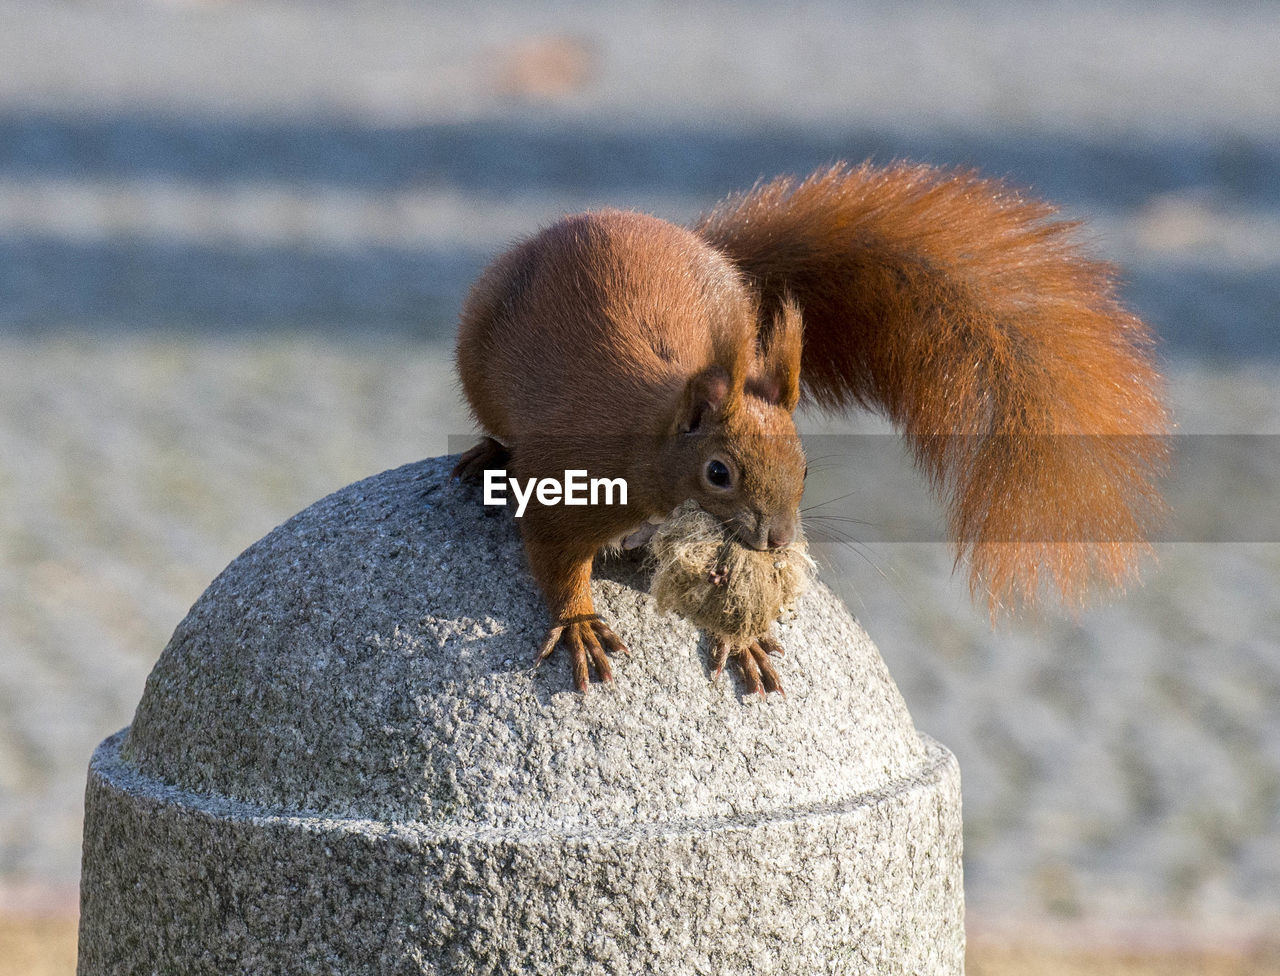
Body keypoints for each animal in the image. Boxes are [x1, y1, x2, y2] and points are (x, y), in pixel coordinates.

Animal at [450, 161, 1172, 691]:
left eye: (804, 467)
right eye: (718, 472)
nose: (776, 539)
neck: (652, 448)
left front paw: (743, 635)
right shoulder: (572, 483)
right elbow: (553, 554)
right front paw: (578, 622)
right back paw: (485, 456)